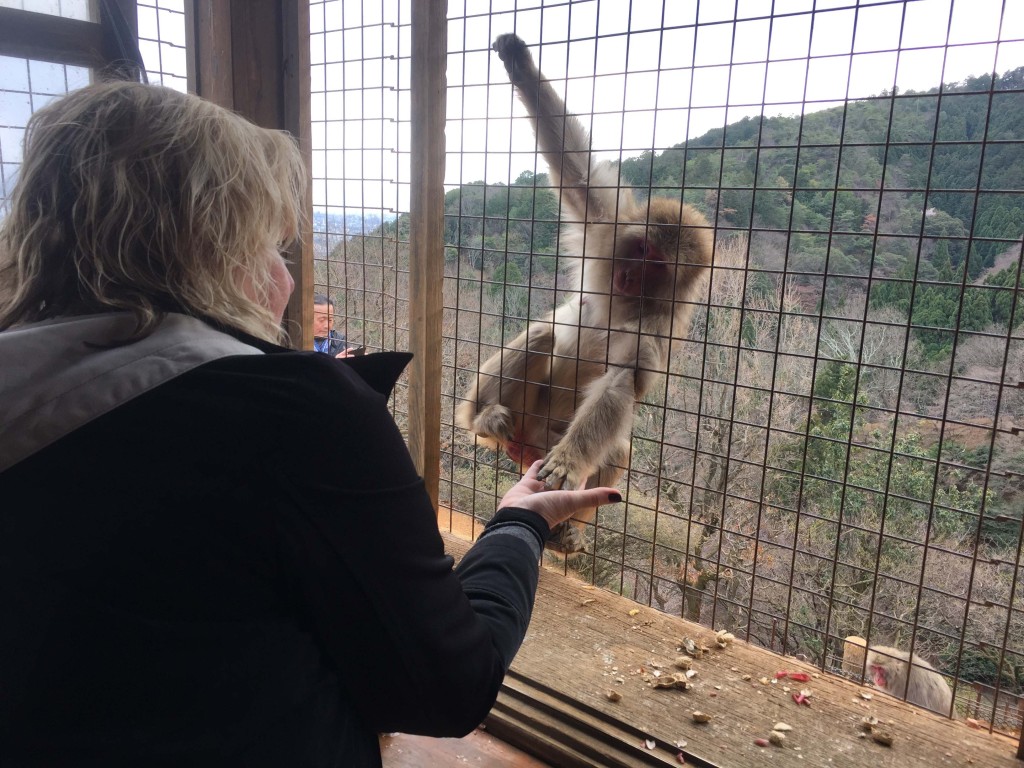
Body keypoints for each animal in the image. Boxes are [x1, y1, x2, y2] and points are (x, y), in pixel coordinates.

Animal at [456, 34, 712, 552]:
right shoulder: (607, 227)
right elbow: (577, 176)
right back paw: (480, 419)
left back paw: (566, 529)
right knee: (544, 335)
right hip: (525, 415)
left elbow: (622, 380)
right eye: (641, 249)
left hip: (549, 437)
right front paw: (519, 60)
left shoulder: (658, 328)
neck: (627, 302)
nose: (630, 274)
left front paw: (569, 465)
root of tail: (525, 445)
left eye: (658, 266)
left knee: (618, 447)